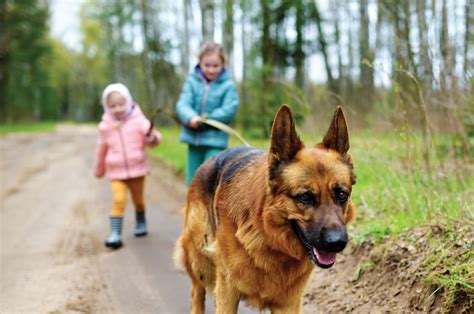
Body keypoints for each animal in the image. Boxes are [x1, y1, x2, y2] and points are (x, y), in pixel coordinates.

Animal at [174, 105, 356, 314]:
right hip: (201, 261)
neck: (266, 235)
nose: (337, 243)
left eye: (341, 194)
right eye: (305, 197)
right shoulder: (227, 293)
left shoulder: (288, 303)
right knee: (196, 291)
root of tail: (212, 158)